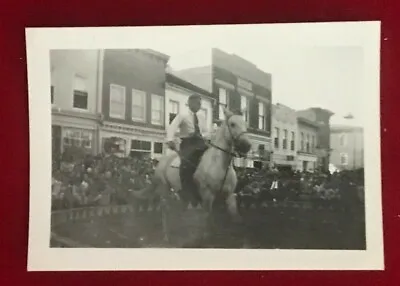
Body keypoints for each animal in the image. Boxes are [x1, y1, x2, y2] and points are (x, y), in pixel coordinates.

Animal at [134, 108, 253, 242]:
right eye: (232, 124)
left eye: (245, 124)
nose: (247, 146)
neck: (218, 164)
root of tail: (162, 161)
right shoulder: (207, 194)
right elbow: (208, 215)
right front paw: (207, 235)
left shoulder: (229, 194)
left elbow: (233, 214)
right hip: (164, 188)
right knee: (165, 210)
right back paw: (166, 235)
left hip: (181, 192)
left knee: (181, 208)